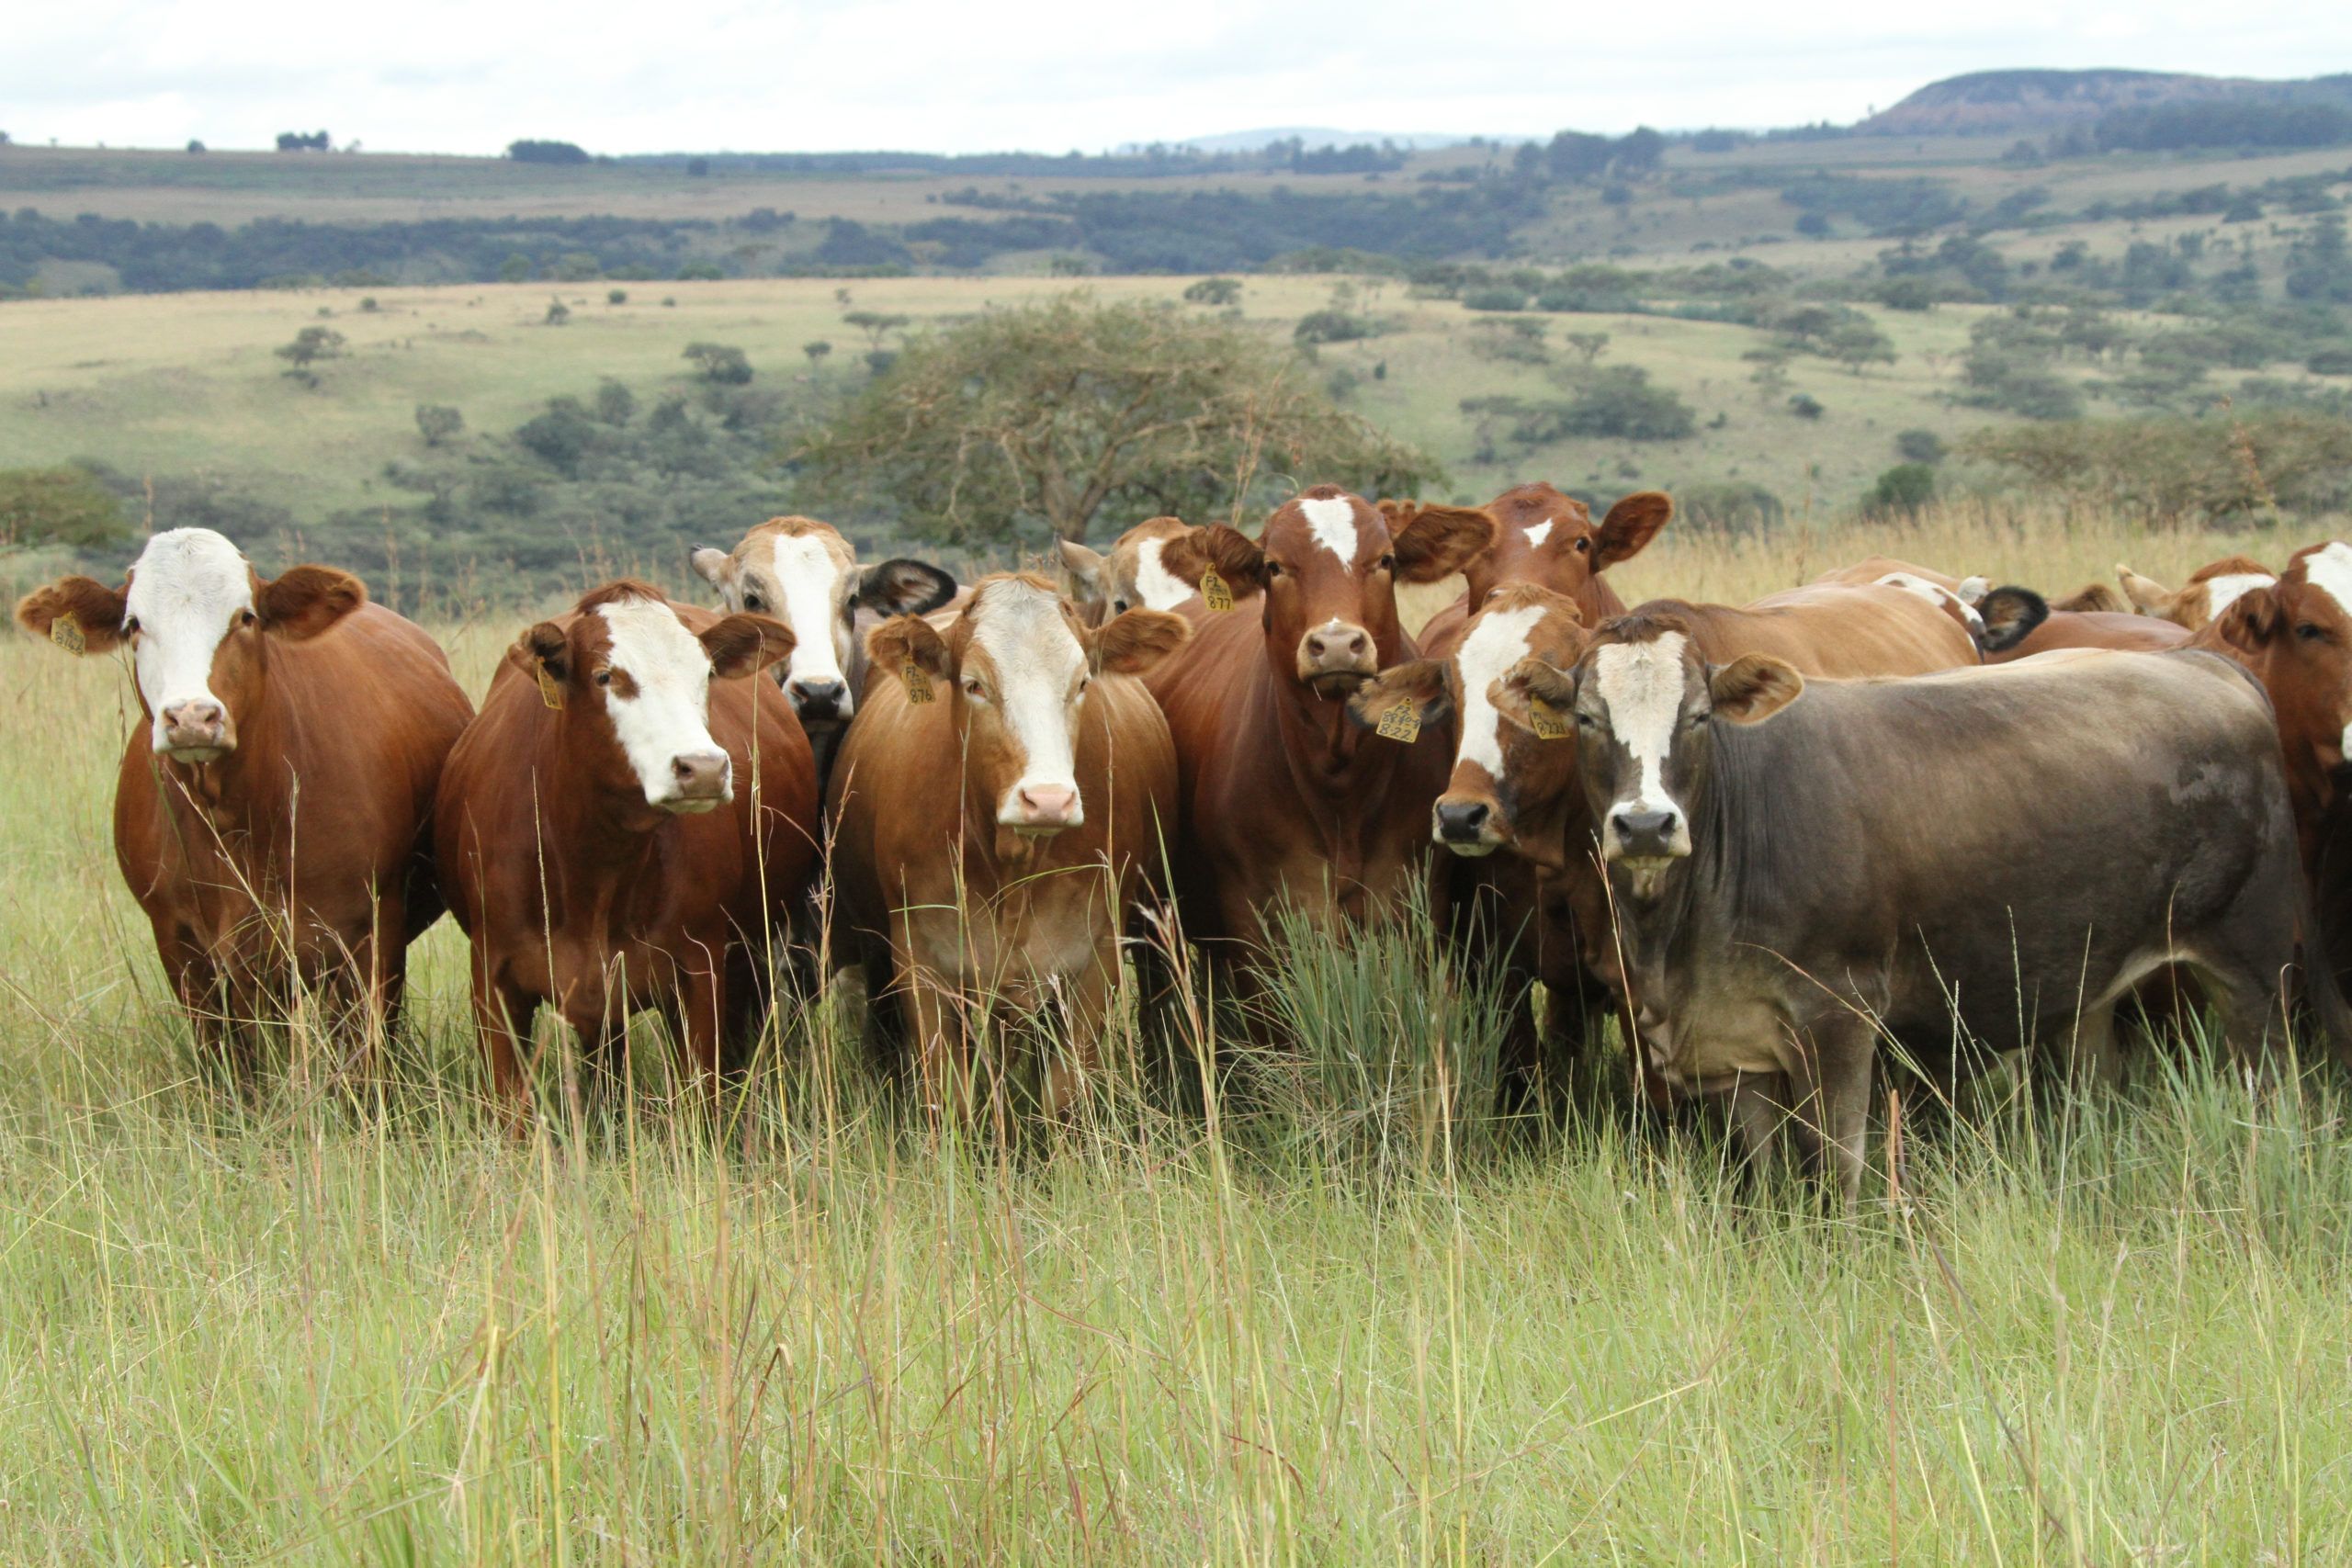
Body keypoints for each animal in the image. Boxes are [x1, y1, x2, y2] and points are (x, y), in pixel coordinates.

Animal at [16, 528, 472, 1068]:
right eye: (133, 624)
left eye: (246, 617)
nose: (192, 717)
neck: (237, 820)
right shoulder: (184, 948)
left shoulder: (370, 937)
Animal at [434, 581, 817, 1118]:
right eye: (604, 676)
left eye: (706, 674)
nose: (702, 768)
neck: (593, 865)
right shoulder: (494, 981)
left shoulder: (700, 972)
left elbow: (702, 1099)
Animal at [826, 573, 1189, 1117]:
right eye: (975, 685)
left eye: (1082, 683)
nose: (1048, 800)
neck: (1013, 870)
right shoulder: (919, 961)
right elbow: (950, 1093)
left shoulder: (1096, 958)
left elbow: (1062, 1093)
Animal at [1142, 485, 1493, 1003]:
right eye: (1273, 566)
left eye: (1385, 559)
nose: (1337, 644)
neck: (1339, 785)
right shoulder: (1258, 929)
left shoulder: (1413, 911)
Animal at [1507, 618, 2321, 1206]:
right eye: (1586, 717)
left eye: (1701, 715)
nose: (1646, 824)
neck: (1680, 931)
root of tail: (2211, 666)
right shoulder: (1731, 1041)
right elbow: (1762, 1175)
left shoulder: (1838, 1015)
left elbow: (1837, 1166)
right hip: (2092, 977)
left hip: (2253, 966)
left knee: (2273, 1090)